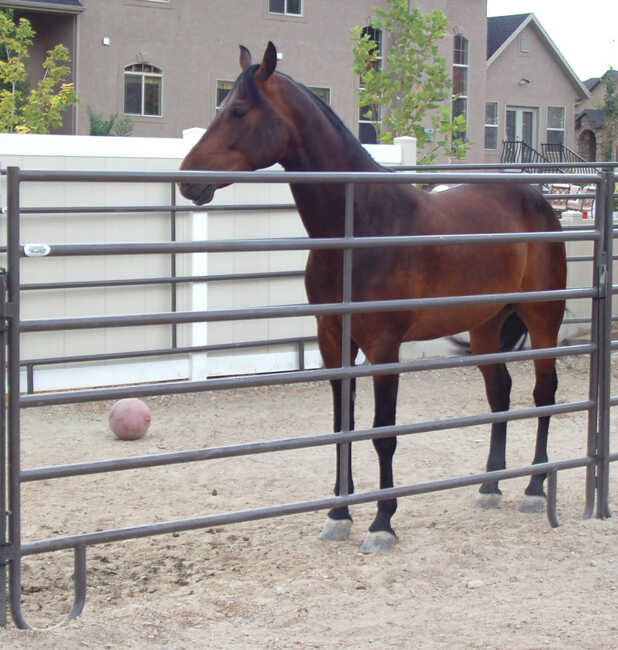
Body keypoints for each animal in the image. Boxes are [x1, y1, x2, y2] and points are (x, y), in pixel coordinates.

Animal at [178, 41, 564, 552]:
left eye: (238, 110)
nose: (187, 179)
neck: (361, 223)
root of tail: (538, 201)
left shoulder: (383, 346)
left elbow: (384, 433)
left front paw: (382, 522)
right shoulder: (333, 340)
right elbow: (343, 425)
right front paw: (338, 514)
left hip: (542, 319)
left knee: (543, 393)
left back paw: (535, 488)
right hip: (486, 325)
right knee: (499, 393)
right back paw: (489, 486)